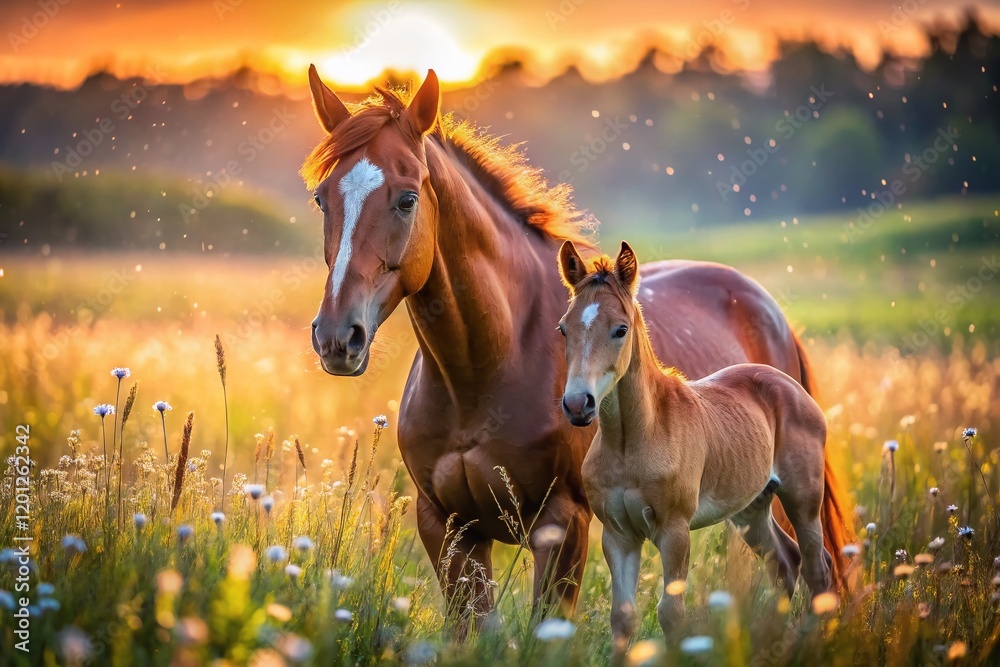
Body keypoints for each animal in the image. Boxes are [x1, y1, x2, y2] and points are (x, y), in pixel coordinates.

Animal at [557, 240, 832, 649]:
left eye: (621, 329)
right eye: (563, 329)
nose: (578, 405)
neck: (630, 441)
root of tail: (788, 383)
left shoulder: (674, 532)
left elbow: (671, 614)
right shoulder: (618, 536)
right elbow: (622, 618)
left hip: (803, 500)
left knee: (817, 569)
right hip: (750, 508)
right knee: (785, 562)